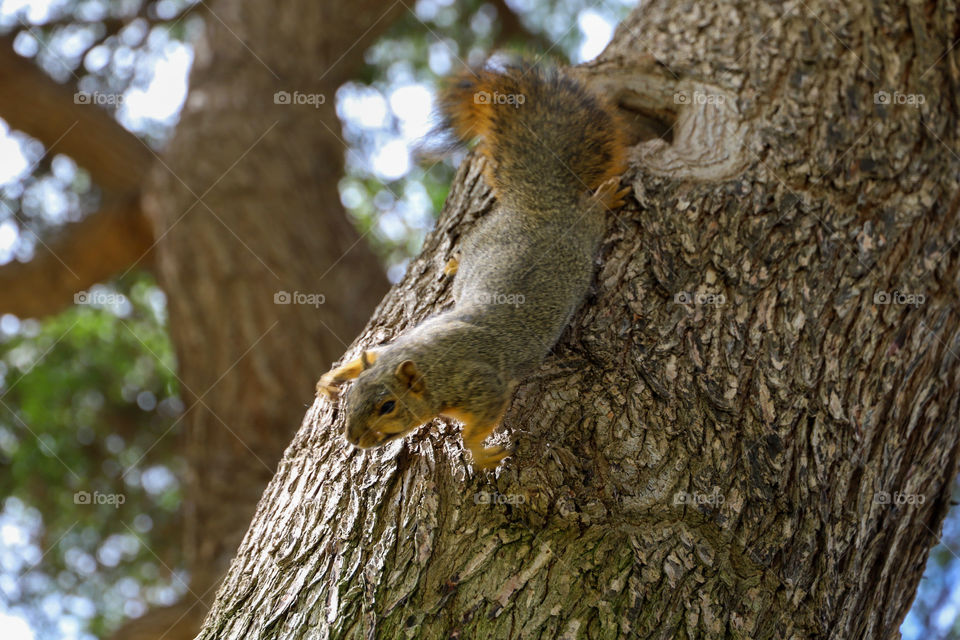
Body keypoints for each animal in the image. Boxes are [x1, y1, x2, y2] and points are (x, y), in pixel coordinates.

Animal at [317, 61, 629, 469]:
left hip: (583, 229)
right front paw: (333, 376)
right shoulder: (392, 349)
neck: (431, 365)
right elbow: (368, 355)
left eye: (387, 406)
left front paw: (482, 454)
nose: (353, 438)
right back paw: (454, 265)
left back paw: (606, 196)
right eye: (353, 395)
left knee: (591, 211)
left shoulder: (482, 385)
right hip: (484, 233)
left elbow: (476, 426)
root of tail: (538, 204)